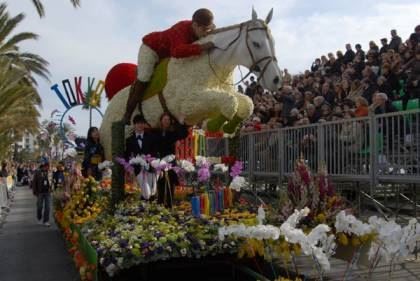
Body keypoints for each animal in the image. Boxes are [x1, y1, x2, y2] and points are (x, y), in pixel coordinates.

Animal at [99, 8, 280, 159]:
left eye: (273, 43)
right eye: (256, 44)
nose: (276, 80)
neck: (212, 64)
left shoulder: (218, 92)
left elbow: (245, 103)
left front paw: (227, 127)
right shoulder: (187, 103)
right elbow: (229, 102)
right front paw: (214, 124)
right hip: (115, 142)